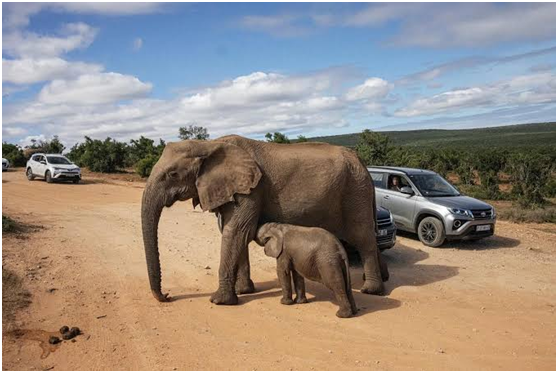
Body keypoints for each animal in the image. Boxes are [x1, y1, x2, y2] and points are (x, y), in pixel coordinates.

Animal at [142, 135, 392, 304]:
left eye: (172, 174)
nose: (167, 295)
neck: (209, 144)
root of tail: (361, 162)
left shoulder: (252, 189)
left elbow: (236, 231)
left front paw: (220, 301)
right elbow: (236, 234)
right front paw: (244, 291)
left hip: (355, 191)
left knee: (363, 238)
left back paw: (371, 290)